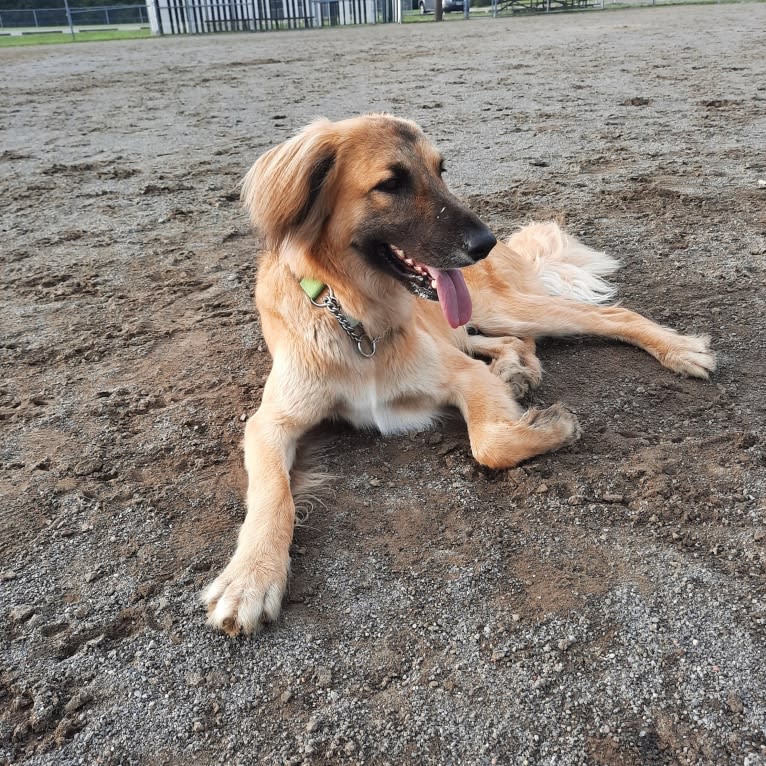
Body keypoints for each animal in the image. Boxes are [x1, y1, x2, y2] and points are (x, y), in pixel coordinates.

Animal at [202, 114, 712, 640]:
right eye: (391, 184)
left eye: (441, 170)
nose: (484, 244)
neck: (355, 318)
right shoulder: (271, 422)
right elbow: (272, 494)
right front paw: (250, 578)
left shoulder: (463, 377)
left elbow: (489, 443)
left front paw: (551, 425)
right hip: (476, 322)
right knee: (512, 342)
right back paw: (516, 370)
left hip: (501, 308)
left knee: (609, 315)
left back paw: (678, 350)